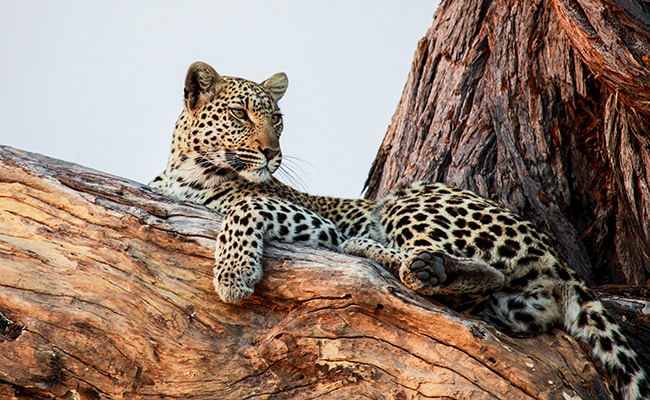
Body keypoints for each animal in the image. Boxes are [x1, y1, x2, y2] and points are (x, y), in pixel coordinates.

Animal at [149, 61, 644, 398]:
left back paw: (413, 262)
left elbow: (246, 205)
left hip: (407, 201)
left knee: (477, 272)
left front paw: (233, 275)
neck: (187, 172)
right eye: (241, 115)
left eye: (279, 121)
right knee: (476, 296)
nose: (274, 153)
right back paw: (412, 265)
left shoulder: (317, 224)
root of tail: (556, 257)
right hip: (514, 303)